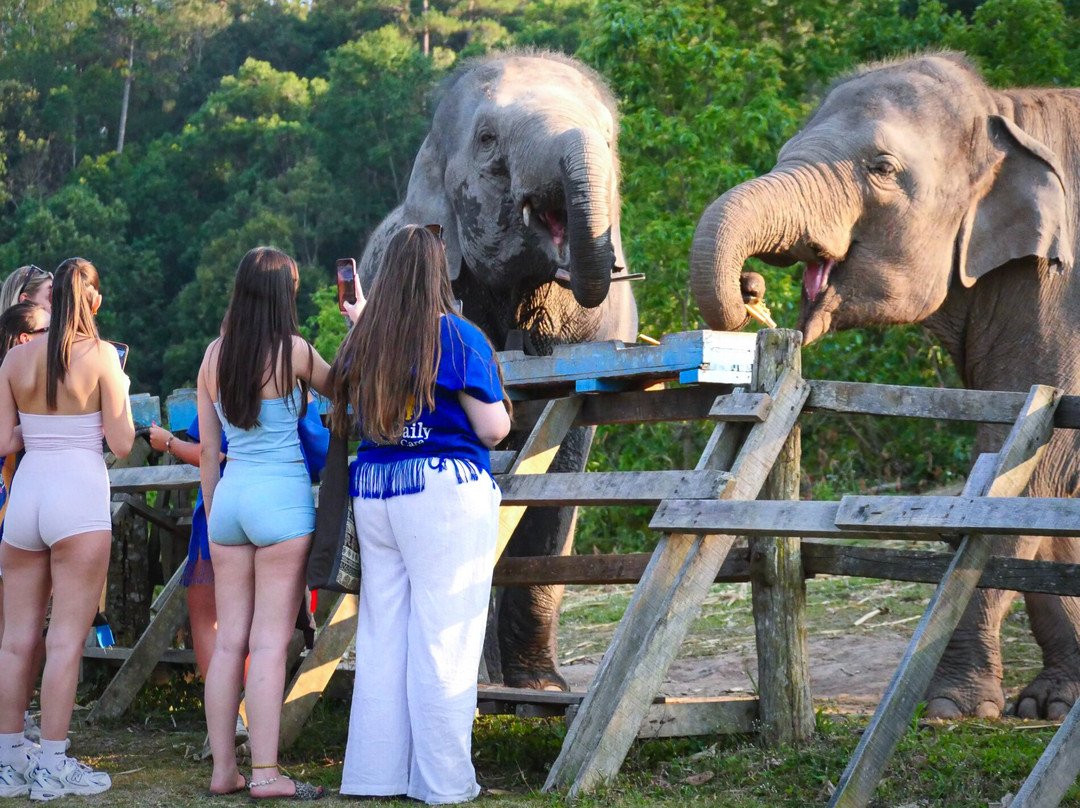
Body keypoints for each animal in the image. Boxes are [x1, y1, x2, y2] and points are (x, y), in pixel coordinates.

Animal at [689, 52, 1080, 720]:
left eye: (883, 169)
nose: (752, 285)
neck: (1006, 111)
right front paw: (1047, 703)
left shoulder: (1063, 294)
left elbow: (1030, 454)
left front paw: (951, 707)